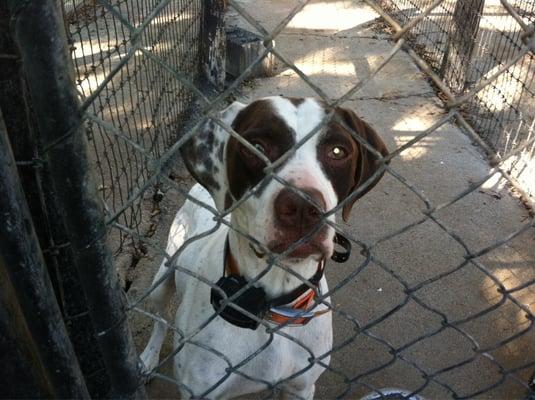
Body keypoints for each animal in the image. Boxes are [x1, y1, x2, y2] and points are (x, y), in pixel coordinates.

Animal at [140, 95, 388, 398]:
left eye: (338, 151)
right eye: (256, 147)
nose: (303, 207)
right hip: (162, 277)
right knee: (160, 318)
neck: (273, 308)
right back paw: (149, 357)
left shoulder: (301, 387)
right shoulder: (199, 390)